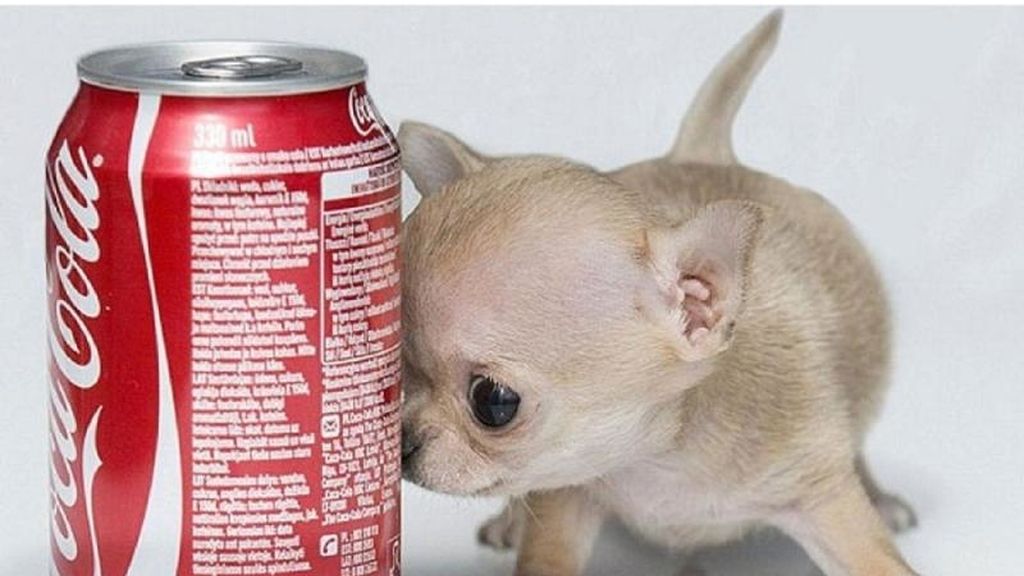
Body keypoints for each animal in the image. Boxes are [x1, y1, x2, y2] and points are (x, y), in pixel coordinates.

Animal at [399, 10, 921, 573]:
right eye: (396, 368)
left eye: (494, 403)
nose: (399, 441)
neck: (657, 454)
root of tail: (704, 153)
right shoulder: (569, 494)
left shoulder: (816, 489)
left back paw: (881, 496)